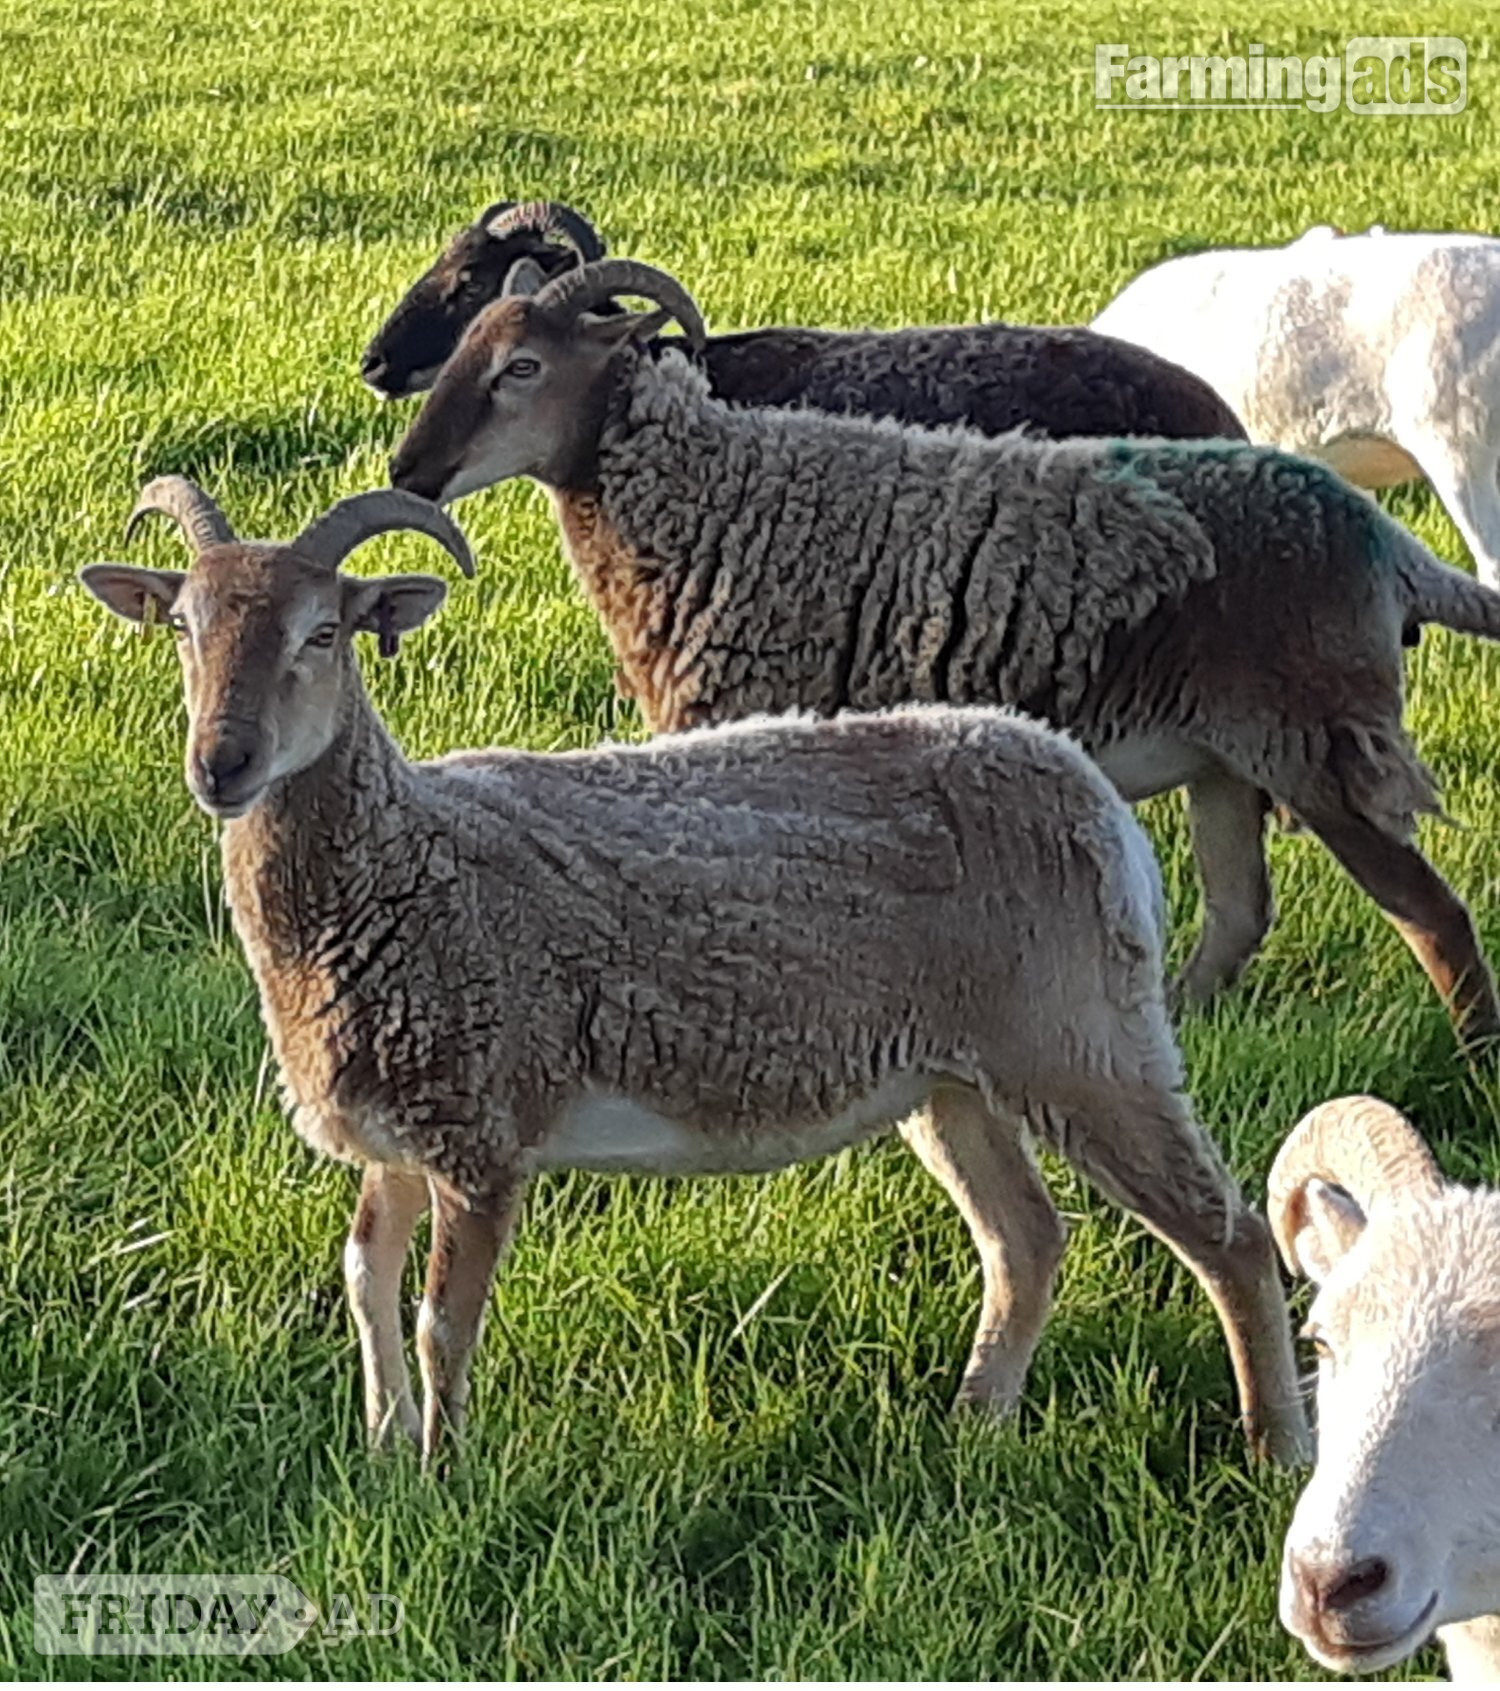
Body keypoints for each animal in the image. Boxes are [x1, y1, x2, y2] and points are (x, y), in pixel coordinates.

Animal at [78, 473, 1312, 1469]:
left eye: (325, 631)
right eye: (182, 625)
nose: (222, 763)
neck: (402, 863)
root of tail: (1088, 791)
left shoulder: (483, 1127)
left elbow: (439, 1321)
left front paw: (443, 1479)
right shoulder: (396, 1123)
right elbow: (363, 1279)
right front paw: (385, 1452)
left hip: (1085, 1038)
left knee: (1231, 1236)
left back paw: (1278, 1450)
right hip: (953, 1074)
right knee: (1027, 1239)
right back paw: (976, 1423)